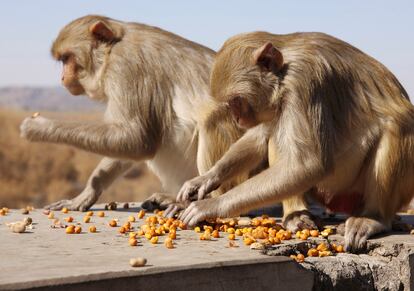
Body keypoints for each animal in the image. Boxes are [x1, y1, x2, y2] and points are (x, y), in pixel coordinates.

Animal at [18, 14, 314, 230]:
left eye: (67, 59)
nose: (62, 78)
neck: (114, 48)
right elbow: (131, 142)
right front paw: (88, 191)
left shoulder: (126, 67)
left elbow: (138, 139)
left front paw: (40, 128)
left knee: (211, 119)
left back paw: (204, 201)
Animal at [176, 30, 412, 252]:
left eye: (236, 101)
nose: (237, 119)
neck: (285, 70)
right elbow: (260, 136)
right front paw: (205, 179)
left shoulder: (304, 82)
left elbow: (309, 164)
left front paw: (211, 204)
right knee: (276, 133)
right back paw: (296, 215)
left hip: (353, 187)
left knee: (396, 126)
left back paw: (374, 218)